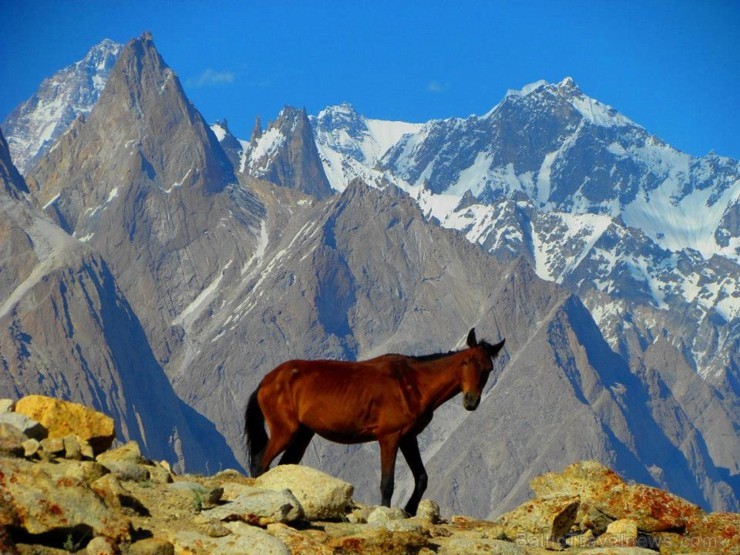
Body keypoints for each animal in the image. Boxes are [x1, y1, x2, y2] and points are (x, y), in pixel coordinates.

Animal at [246, 328, 506, 516]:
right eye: (466, 362)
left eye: (488, 368)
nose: (471, 400)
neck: (412, 384)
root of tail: (267, 380)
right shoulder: (389, 438)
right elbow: (387, 483)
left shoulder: (408, 438)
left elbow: (421, 478)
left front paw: (410, 510)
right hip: (285, 432)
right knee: (261, 463)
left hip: (302, 434)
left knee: (283, 465)